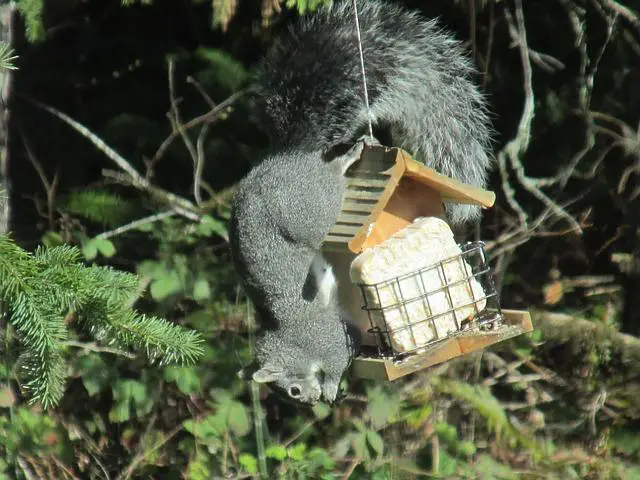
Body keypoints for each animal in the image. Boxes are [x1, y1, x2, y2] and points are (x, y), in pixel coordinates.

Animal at [228, 0, 492, 404]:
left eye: (291, 390)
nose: (311, 402)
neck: (291, 338)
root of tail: (288, 155)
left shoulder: (327, 335)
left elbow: (339, 355)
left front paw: (332, 386)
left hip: (312, 206)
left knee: (330, 180)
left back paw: (347, 159)